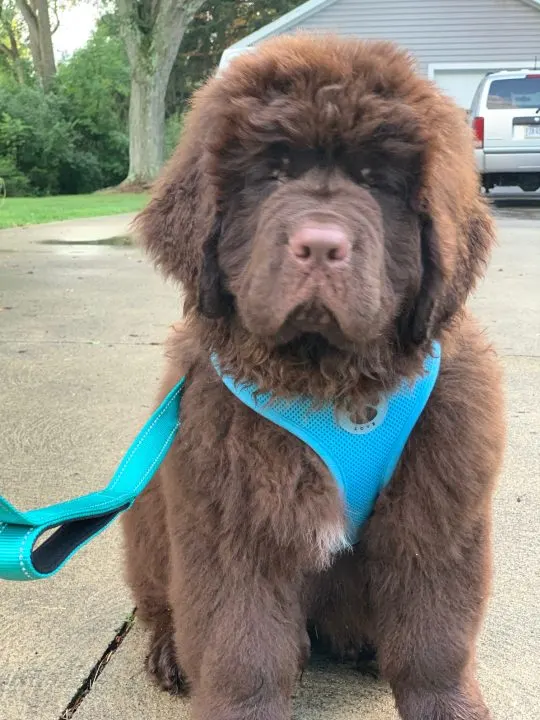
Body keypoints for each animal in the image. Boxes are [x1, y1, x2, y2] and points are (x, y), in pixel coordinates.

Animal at [123, 35, 506, 720]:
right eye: (272, 174)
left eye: (376, 181)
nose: (322, 245)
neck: (328, 385)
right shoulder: (232, 527)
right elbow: (241, 653)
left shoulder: (436, 516)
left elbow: (435, 640)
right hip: (147, 514)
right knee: (161, 603)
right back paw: (168, 652)